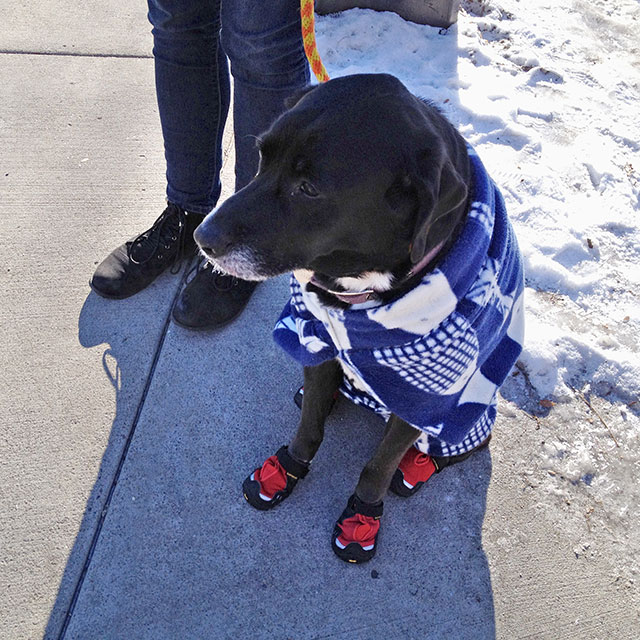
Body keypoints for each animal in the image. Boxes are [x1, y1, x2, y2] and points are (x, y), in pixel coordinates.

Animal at [196, 75, 524, 564]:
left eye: (309, 188)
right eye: (261, 156)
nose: (202, 238)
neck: (360, 288)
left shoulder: (420, 398)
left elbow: (379, 465)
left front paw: (363, 515)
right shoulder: (317, 341)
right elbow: (308, 427)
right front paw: (286, 468)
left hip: (469, 414)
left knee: (451, 445)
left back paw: (421, 463)